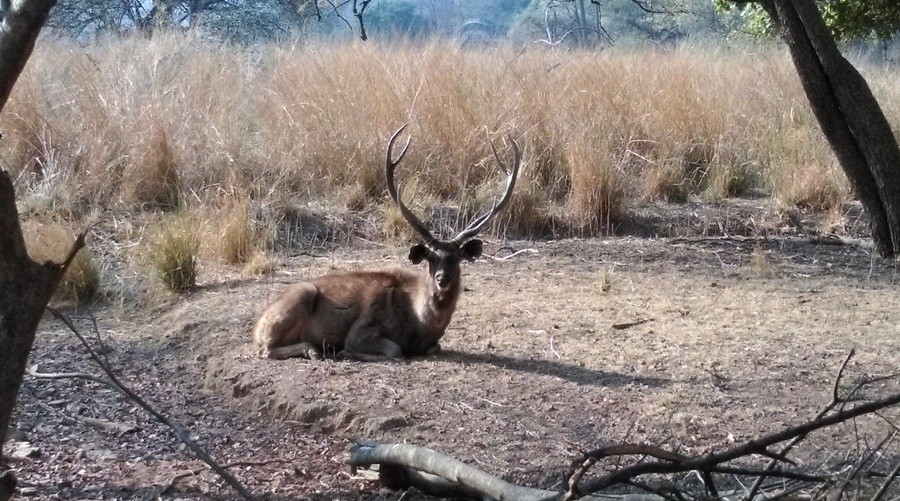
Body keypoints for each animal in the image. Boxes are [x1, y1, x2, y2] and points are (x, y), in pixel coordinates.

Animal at [252, 125, 521, 361]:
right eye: (431, 258)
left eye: (456, 258)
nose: (441, 279)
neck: (419, 324)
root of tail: (256, 328)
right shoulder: (362, 329)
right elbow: (394, 349)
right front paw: (345, 352)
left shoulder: (432, 343)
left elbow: (435, 347)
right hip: (298, 297)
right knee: (264, 350)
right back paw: (314, 350)